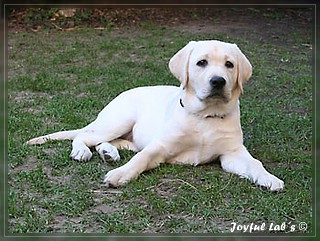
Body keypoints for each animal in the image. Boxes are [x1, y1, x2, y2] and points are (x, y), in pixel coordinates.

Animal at [26, 40, 284, 192]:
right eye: (201, 63)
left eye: (229, 65)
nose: (218, 81)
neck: (205, 116)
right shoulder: (161, 146)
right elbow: (142, 159)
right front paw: (120, 175)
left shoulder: (232, 153)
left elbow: (254, 163)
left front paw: (269, 178)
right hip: (118, 120)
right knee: (85, 136)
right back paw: (83, 152)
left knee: (108, 142)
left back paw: (109, 153)